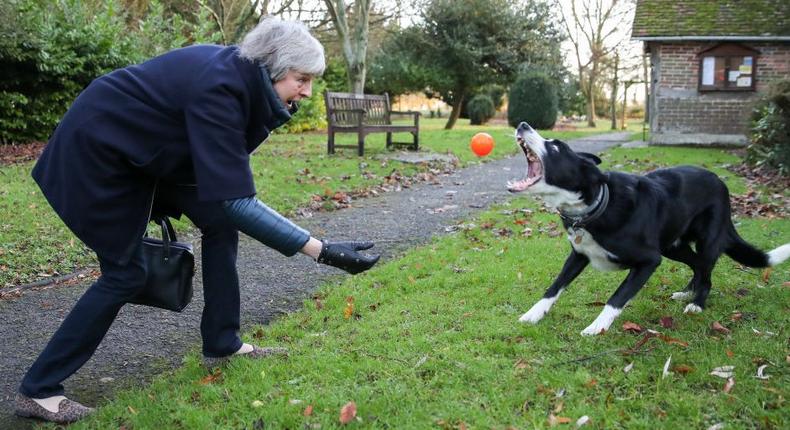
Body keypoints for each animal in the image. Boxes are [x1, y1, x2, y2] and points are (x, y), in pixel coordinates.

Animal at [508, 121, 790, 336]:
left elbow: (617, 298)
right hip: (673, 246)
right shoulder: (578, 255)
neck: (596, 204)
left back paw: (697, 303)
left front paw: (597, 327)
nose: (523, 124)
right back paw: (687, 293)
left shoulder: (648, 261)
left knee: (706, 269)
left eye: (555, 147)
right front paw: (533, 315)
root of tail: (721, 183)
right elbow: (554, 287)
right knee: (697, 265)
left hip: (706, 240)